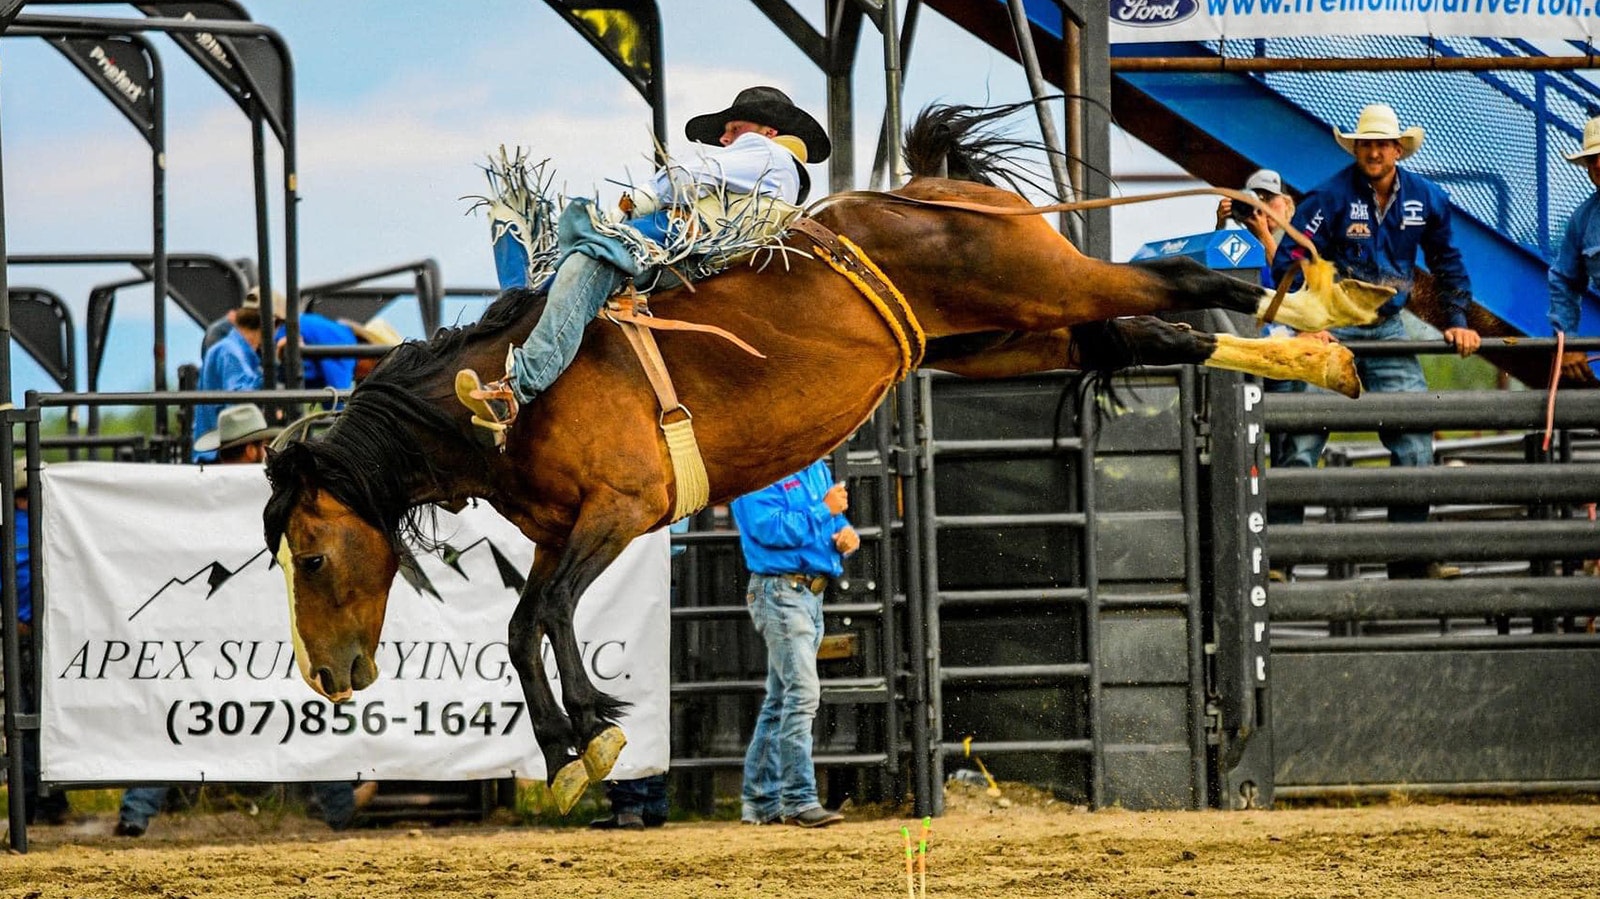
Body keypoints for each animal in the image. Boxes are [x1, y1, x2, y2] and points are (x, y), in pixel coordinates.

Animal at [265, 101, 1388, 809]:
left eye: (311, 555)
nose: (326, 675)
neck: (515, 397)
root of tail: (933, 188)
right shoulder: (560, 533)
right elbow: (520, 624)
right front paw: (566, 750)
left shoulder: (619, 511)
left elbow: (539, 618)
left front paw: (594, 725)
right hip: (1003, 333)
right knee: (1153, 334)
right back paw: (1323, 356)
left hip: (1043, 281)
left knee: (1187, 287)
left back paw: (1328, 302)